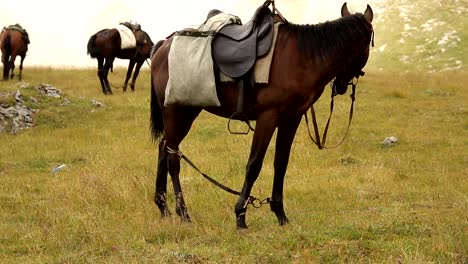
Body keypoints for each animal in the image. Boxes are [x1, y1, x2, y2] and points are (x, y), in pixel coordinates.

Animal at [149, 1, 372, 229]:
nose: (341, 86)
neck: (303, 57)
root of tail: (163, 45)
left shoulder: (291, 119)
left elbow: (281, 163)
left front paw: (280, 214)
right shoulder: (268, 118)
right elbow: (254, 164)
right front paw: (240, 215)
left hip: (186, 112)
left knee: (164, 148)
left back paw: (163, 206)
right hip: (178, 112)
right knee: (173, 157)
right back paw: (183, 213)